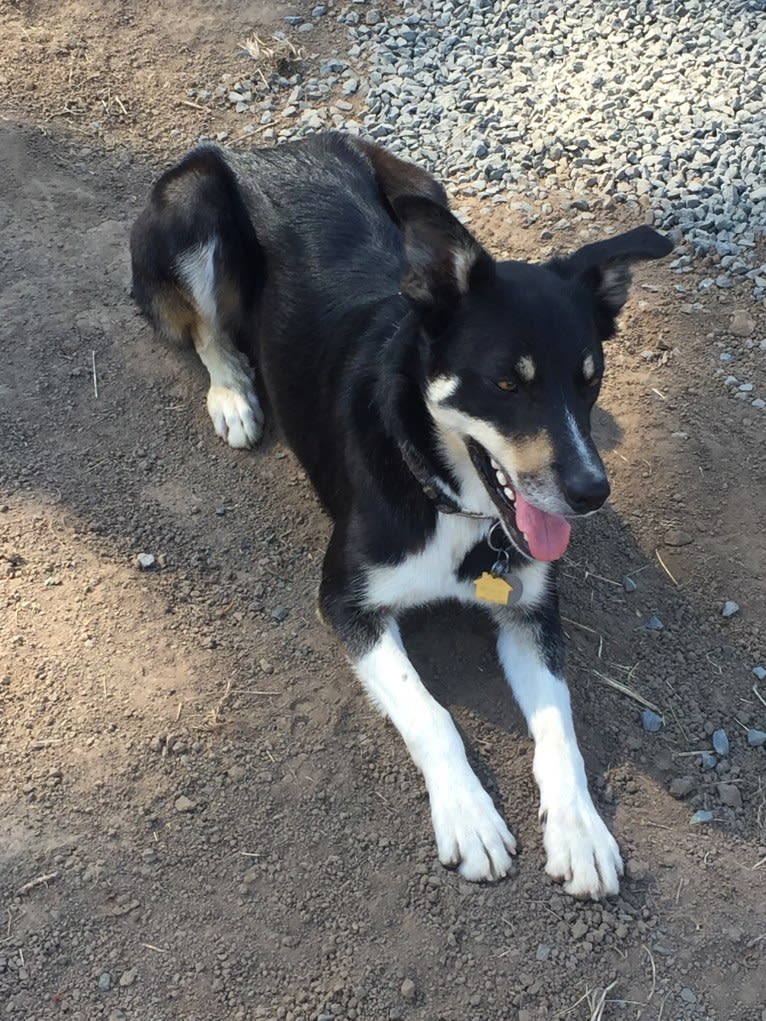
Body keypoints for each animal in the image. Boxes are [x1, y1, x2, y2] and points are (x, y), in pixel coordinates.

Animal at [130, 131, 669, 898]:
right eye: (506, 383)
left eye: (590, 381)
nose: (593, 492)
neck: (448, 500)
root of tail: (278, 145)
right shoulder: (346, 601)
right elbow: (431, 713)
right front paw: (470, 817)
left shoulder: (531, 612)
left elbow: (560, 730)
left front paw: (580, 831)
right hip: (193, 206)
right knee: (206, 329)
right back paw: (233, 393)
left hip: (423, 186)